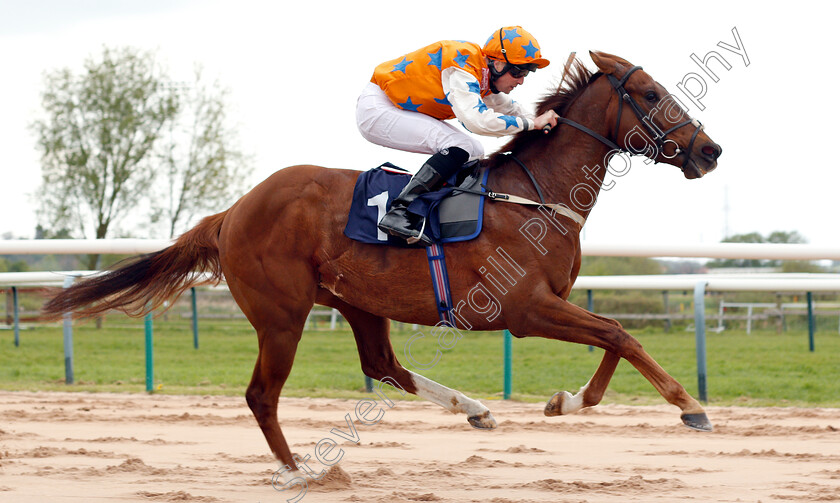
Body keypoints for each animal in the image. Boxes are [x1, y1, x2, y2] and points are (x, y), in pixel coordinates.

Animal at [42, 51, 720, 484]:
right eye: (652, 95)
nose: (710, 150)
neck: (533, 196)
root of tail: (233, 211)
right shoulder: (525, 308)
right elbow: (618, 333)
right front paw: (689, 405)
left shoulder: (547, 303)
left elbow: (613, 337)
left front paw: (566, 401)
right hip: (282, 315)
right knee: (263, 394)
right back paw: (298, 472)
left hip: (357, 302)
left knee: (384, 366)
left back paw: (473, 409)